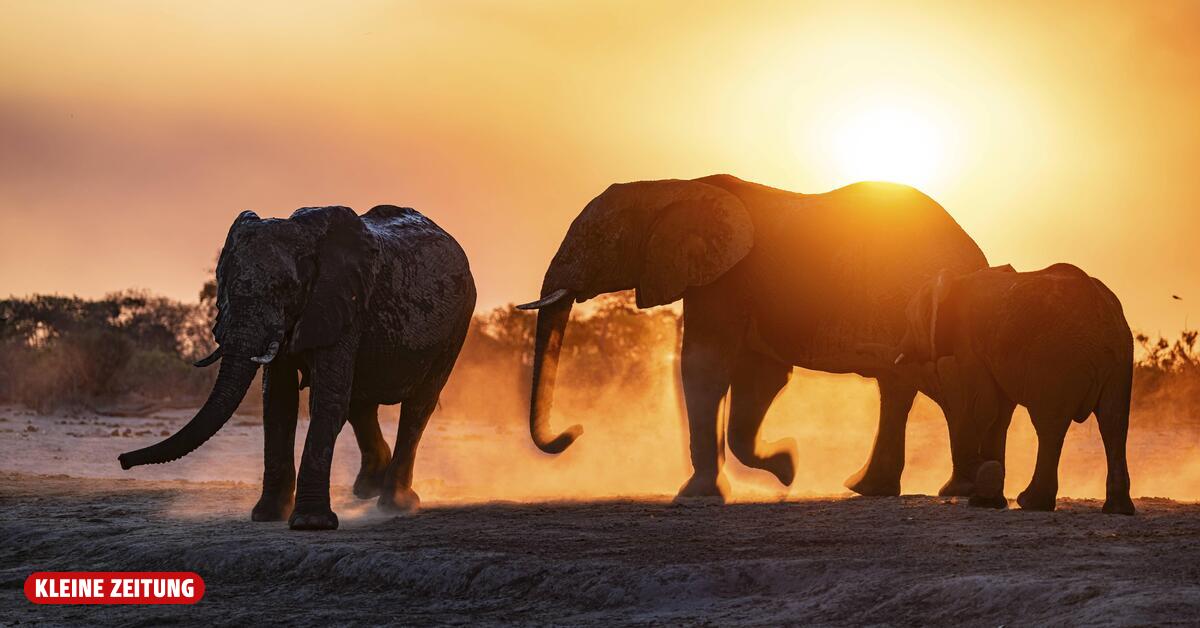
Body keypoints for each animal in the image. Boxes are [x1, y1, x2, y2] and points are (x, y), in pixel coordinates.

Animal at [118, 205, 476, 530]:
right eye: (226, 286)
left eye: (286, 288)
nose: (122, 460)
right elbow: (278, 401)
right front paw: (266, 516)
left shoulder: (341, 301)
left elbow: (325, 401)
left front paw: (310, 523)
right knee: (360, 403)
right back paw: (367, 490)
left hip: (457, 323)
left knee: (417, 405)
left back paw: (395, 503)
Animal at [516, 174, 988, 502]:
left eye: (595, 241)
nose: (575, 431)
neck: (669, 188)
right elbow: (759, 375)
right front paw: (787, 467)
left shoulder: (725, 279)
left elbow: (705, 364)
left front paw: (698, 495)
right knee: (911, 386)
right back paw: (906, 489)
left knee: (932, 384)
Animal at [894, 263, 1135, 515]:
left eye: (908, 320)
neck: (955, 280)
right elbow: (1000, 414)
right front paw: (989, 500)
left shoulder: (968, 342)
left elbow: (982, 407)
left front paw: (984, 487)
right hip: (1120, 360)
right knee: (1114, 423)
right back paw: (1118, 509)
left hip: (1057, 361)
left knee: (1050, 425)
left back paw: (1032, 503)